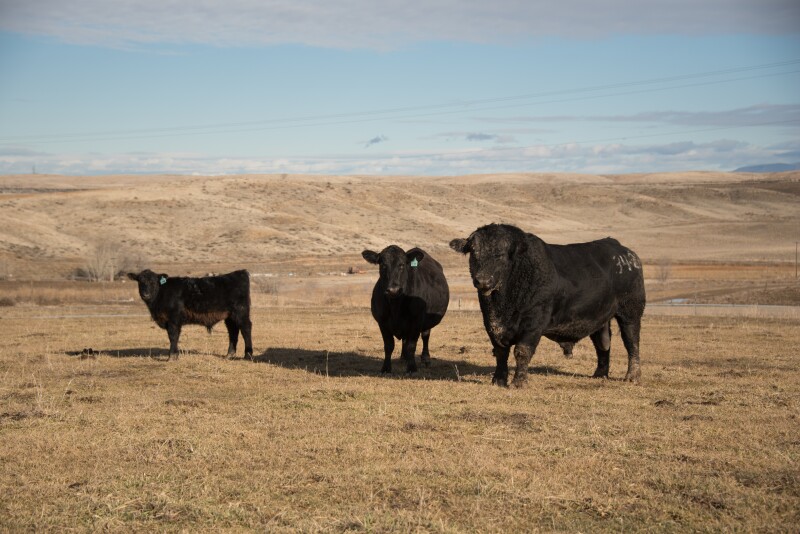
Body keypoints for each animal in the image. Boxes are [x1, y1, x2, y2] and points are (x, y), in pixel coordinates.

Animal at [362, 246, 449, 374]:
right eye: (383, 264)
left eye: (402, 265)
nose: (393, 290)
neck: (396, 306)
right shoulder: (382, 322)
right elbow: (389, 345)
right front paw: (386, 368)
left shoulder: (416, 321)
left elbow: (411, 345)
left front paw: (412, 368)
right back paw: (404, 358)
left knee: (425, 336)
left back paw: (425, 359)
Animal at [449, 224, 645, 387]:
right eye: (473, 252)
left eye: (501, 254)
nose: (483, 280)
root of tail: (626, 254)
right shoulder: (491, 324)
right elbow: (500, 352)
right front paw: (498, 380)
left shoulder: (534, 321)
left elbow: (522, 351)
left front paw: (519, 382)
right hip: (600, 316)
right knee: (602, 344)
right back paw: (600, 373)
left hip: (630, 311)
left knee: (631, 342)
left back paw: (632, 376)